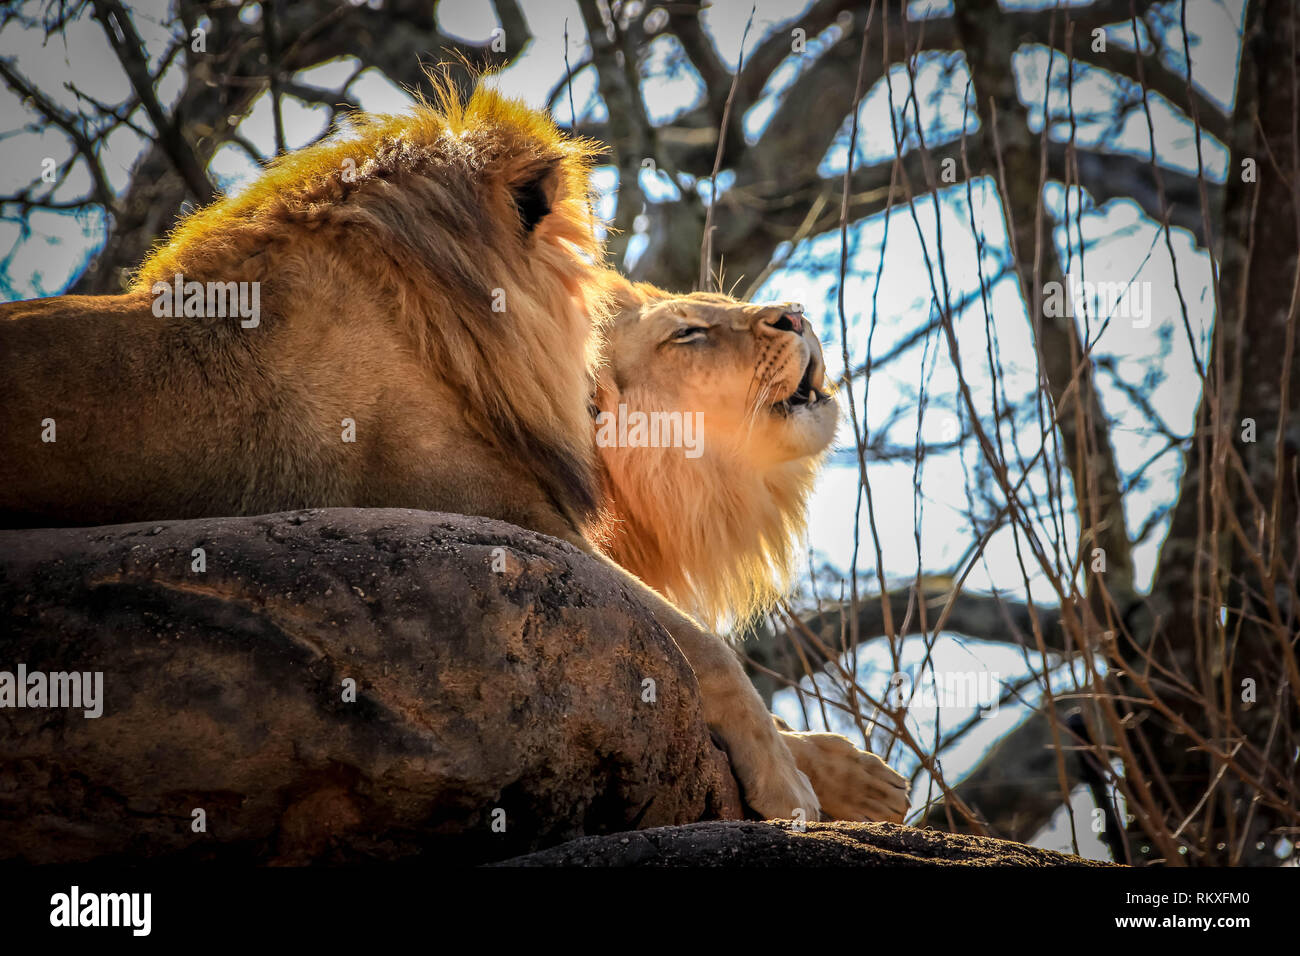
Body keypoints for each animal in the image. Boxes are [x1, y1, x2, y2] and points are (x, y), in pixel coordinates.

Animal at [0, 79, 906, 824]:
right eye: (688, 332)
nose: (797, 314)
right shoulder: (506, 520)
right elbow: (705, 647)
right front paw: (791, 787)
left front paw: (855, 777)